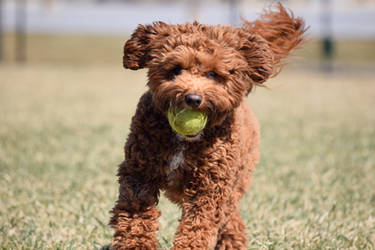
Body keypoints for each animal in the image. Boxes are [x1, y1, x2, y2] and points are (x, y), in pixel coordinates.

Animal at [109, 4, 306, 250]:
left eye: (213, 74)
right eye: (176, 69)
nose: (193, 99)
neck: (184, 141)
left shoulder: (209, 187)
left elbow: (198, 226)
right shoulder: (140, 172)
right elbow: (135, 216)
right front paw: (136, 244)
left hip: (236, 181)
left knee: (230, 216)